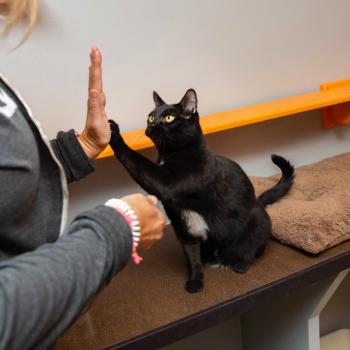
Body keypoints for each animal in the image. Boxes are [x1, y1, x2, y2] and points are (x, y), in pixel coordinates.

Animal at [108, 89, 292, 292]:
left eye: (169, 118)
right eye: (151, 116)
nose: (152, 125)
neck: (167, 154)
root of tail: (258, 201)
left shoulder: (167, 183)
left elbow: (135, 160)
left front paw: (113, 133)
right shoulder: (182, 226)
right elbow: (192, 255)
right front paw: (195, 280)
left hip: (258, 220)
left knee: (252, 248)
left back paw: (240, 263)